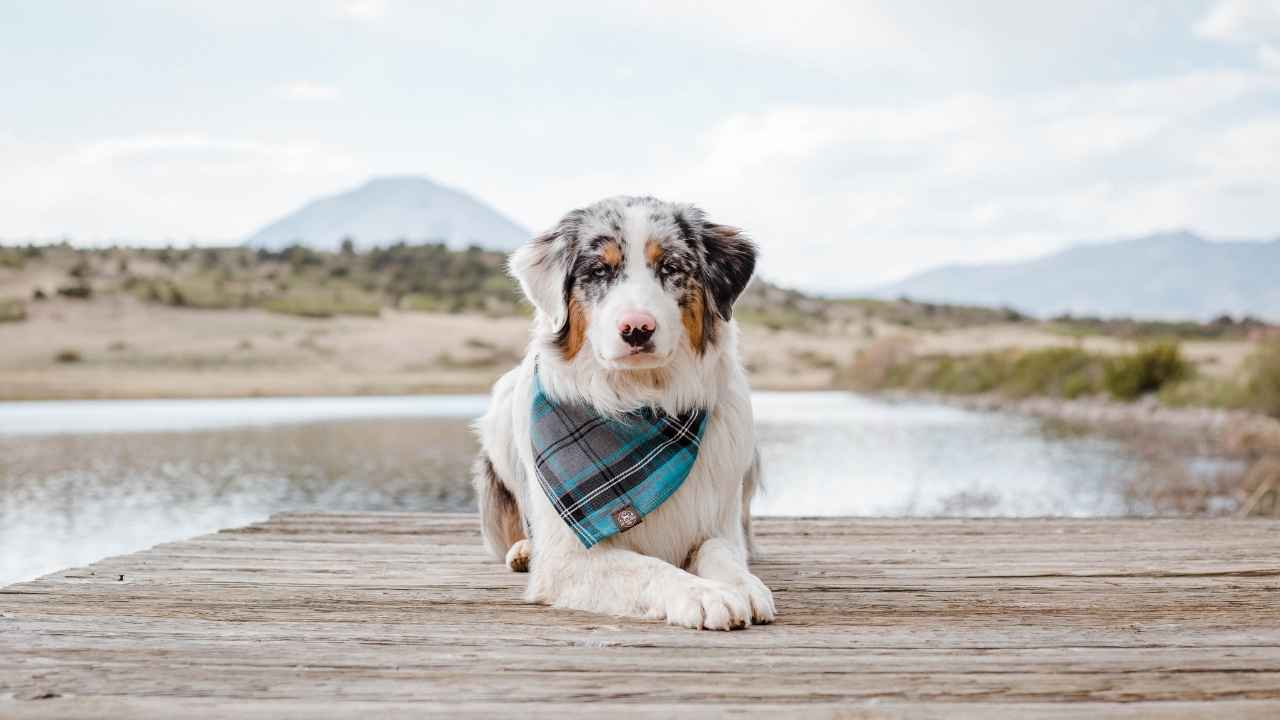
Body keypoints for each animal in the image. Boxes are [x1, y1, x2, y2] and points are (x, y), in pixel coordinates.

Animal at [471, 193, 768, 625]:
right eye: (599, 271)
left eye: (671, 268)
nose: (637, 329)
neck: (638, 401)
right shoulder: (569, 559)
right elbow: (649, 568)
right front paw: (703, 593)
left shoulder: (716, 523)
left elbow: (722, 553)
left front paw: (742, 584)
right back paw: (524, 551)